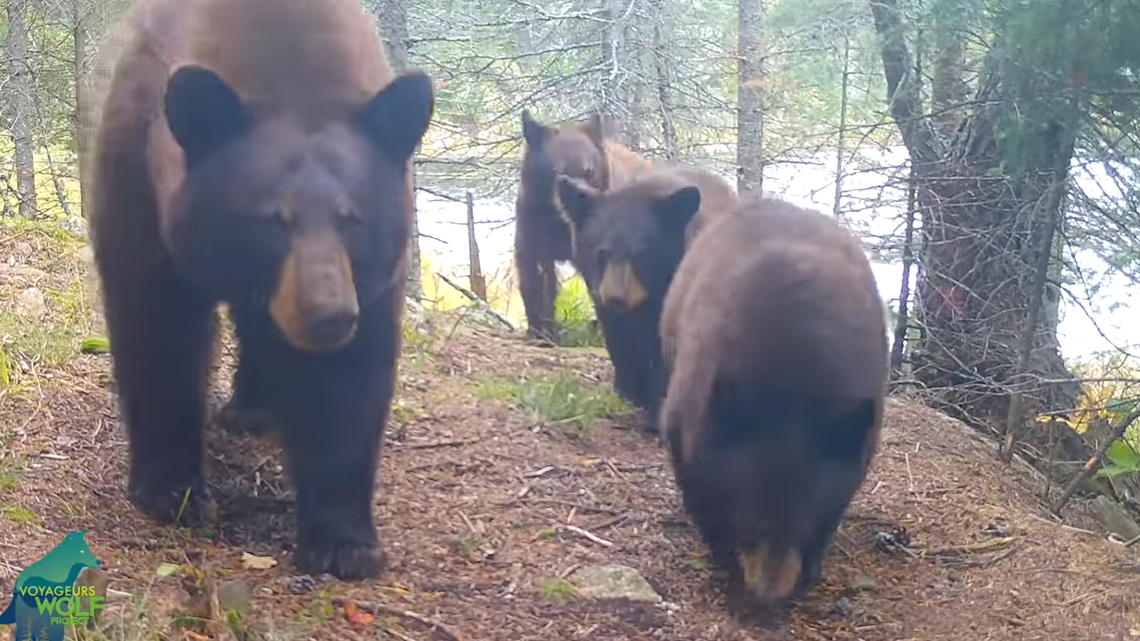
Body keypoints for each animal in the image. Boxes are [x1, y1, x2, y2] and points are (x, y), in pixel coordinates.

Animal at [88, 0, 435, 581]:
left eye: (352, 219)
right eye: (274, 219)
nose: (330, 315)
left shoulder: (374, 279)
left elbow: (349, 382)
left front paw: (344, 543)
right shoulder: (141, 171)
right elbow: (158, 326)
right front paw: (170, 491)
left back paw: (253, 410)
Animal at [514, 110, 655, 344]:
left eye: (589, 171)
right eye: (558, 172)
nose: (580, 197)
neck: (560, 222)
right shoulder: (533, 222)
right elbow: (534, 276)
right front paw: (541, 333)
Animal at [555, 166, 737, 432]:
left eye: (641, 254)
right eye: (601, 252)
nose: (617, 298)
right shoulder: (600, 294)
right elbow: (619, 340)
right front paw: (628, 393)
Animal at [658, 195, 888, 606]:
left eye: (803, 524)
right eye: (751, 522)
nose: (767, 598)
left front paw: (811, 567)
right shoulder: (691, 415)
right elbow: (698, 484)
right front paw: (724, 562)